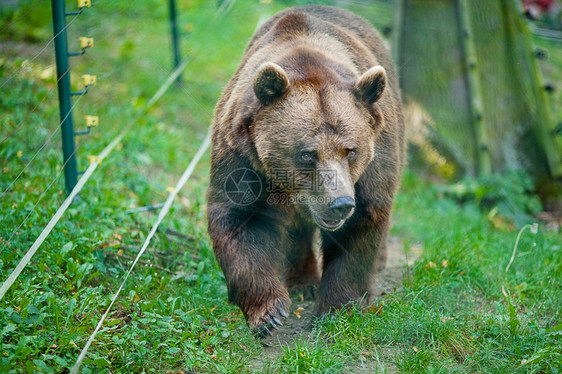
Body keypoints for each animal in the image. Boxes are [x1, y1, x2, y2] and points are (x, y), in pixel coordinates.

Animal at [206, 4, 402, 336]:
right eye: (307, 154)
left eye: (351, 151)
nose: (340, 203)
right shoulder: (242, 155)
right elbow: (239, 218)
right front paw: (269, 312)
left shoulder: (372, 164)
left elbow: (363, 222)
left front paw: (336, 309)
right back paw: (302, 281)